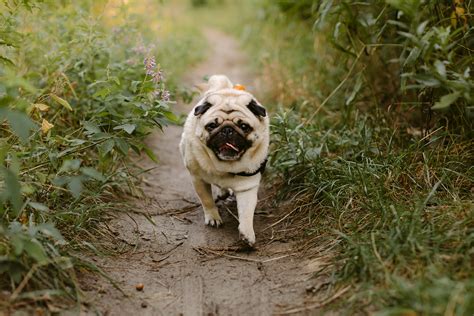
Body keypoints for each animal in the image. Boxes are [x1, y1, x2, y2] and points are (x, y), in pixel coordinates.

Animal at [180, 75, 268, 246]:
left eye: (244, 126)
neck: (226, 166)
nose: (227, 130)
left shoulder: (248, 186)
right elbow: (207, 200)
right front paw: (213, 218)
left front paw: (247, 233)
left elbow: (247, 212)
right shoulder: (198, 179)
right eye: (212, 125)